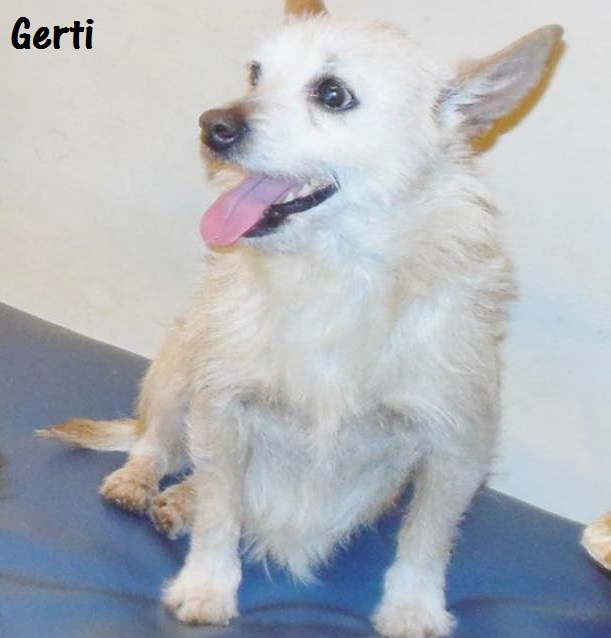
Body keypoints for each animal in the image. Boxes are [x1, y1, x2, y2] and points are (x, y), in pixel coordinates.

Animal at [39, 1, 563, 636]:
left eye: (333, 94)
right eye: (255, 75)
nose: (211, 124)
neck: (332, 274)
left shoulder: (457, 446)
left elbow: (426, 539)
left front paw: (413, 609)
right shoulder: (222, 408)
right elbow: (221, 511)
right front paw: (206, 586)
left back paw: (179, 499)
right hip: (178, 366)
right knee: (157, 445)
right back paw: (142, 484)